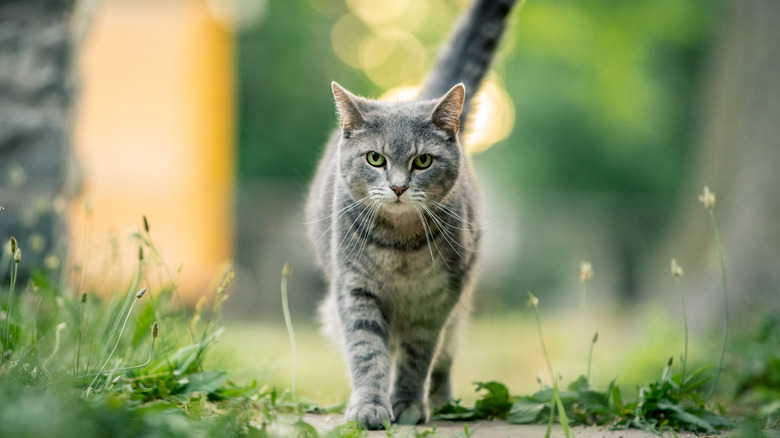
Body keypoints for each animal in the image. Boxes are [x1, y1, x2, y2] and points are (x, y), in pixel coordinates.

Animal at [304, 0, 516, 430]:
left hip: (459, 309)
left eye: (422, 161)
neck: (399, 247)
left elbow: (419, 356)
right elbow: (367, 352)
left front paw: (407, 404)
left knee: (445, 356)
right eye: (375, 158)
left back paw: (442, 400)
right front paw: (370, 406)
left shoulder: (437, 300)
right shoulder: (355, 290)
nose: (399, 186)